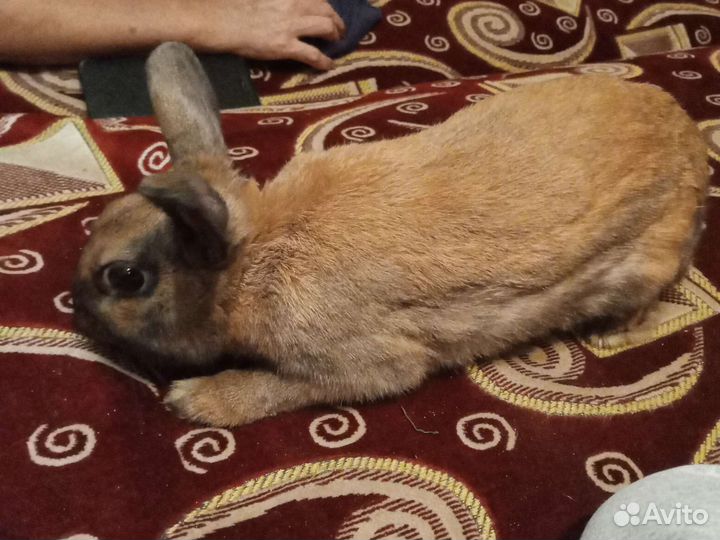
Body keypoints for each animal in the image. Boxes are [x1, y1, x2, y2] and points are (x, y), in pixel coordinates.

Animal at [73, 42, 709, 427]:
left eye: (125, 278)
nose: (75, 308)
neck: (254, 260)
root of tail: (695, 153)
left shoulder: (362, 363)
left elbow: (287, 386)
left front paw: (198, 401)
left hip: (641, 268)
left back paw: (609, 334)